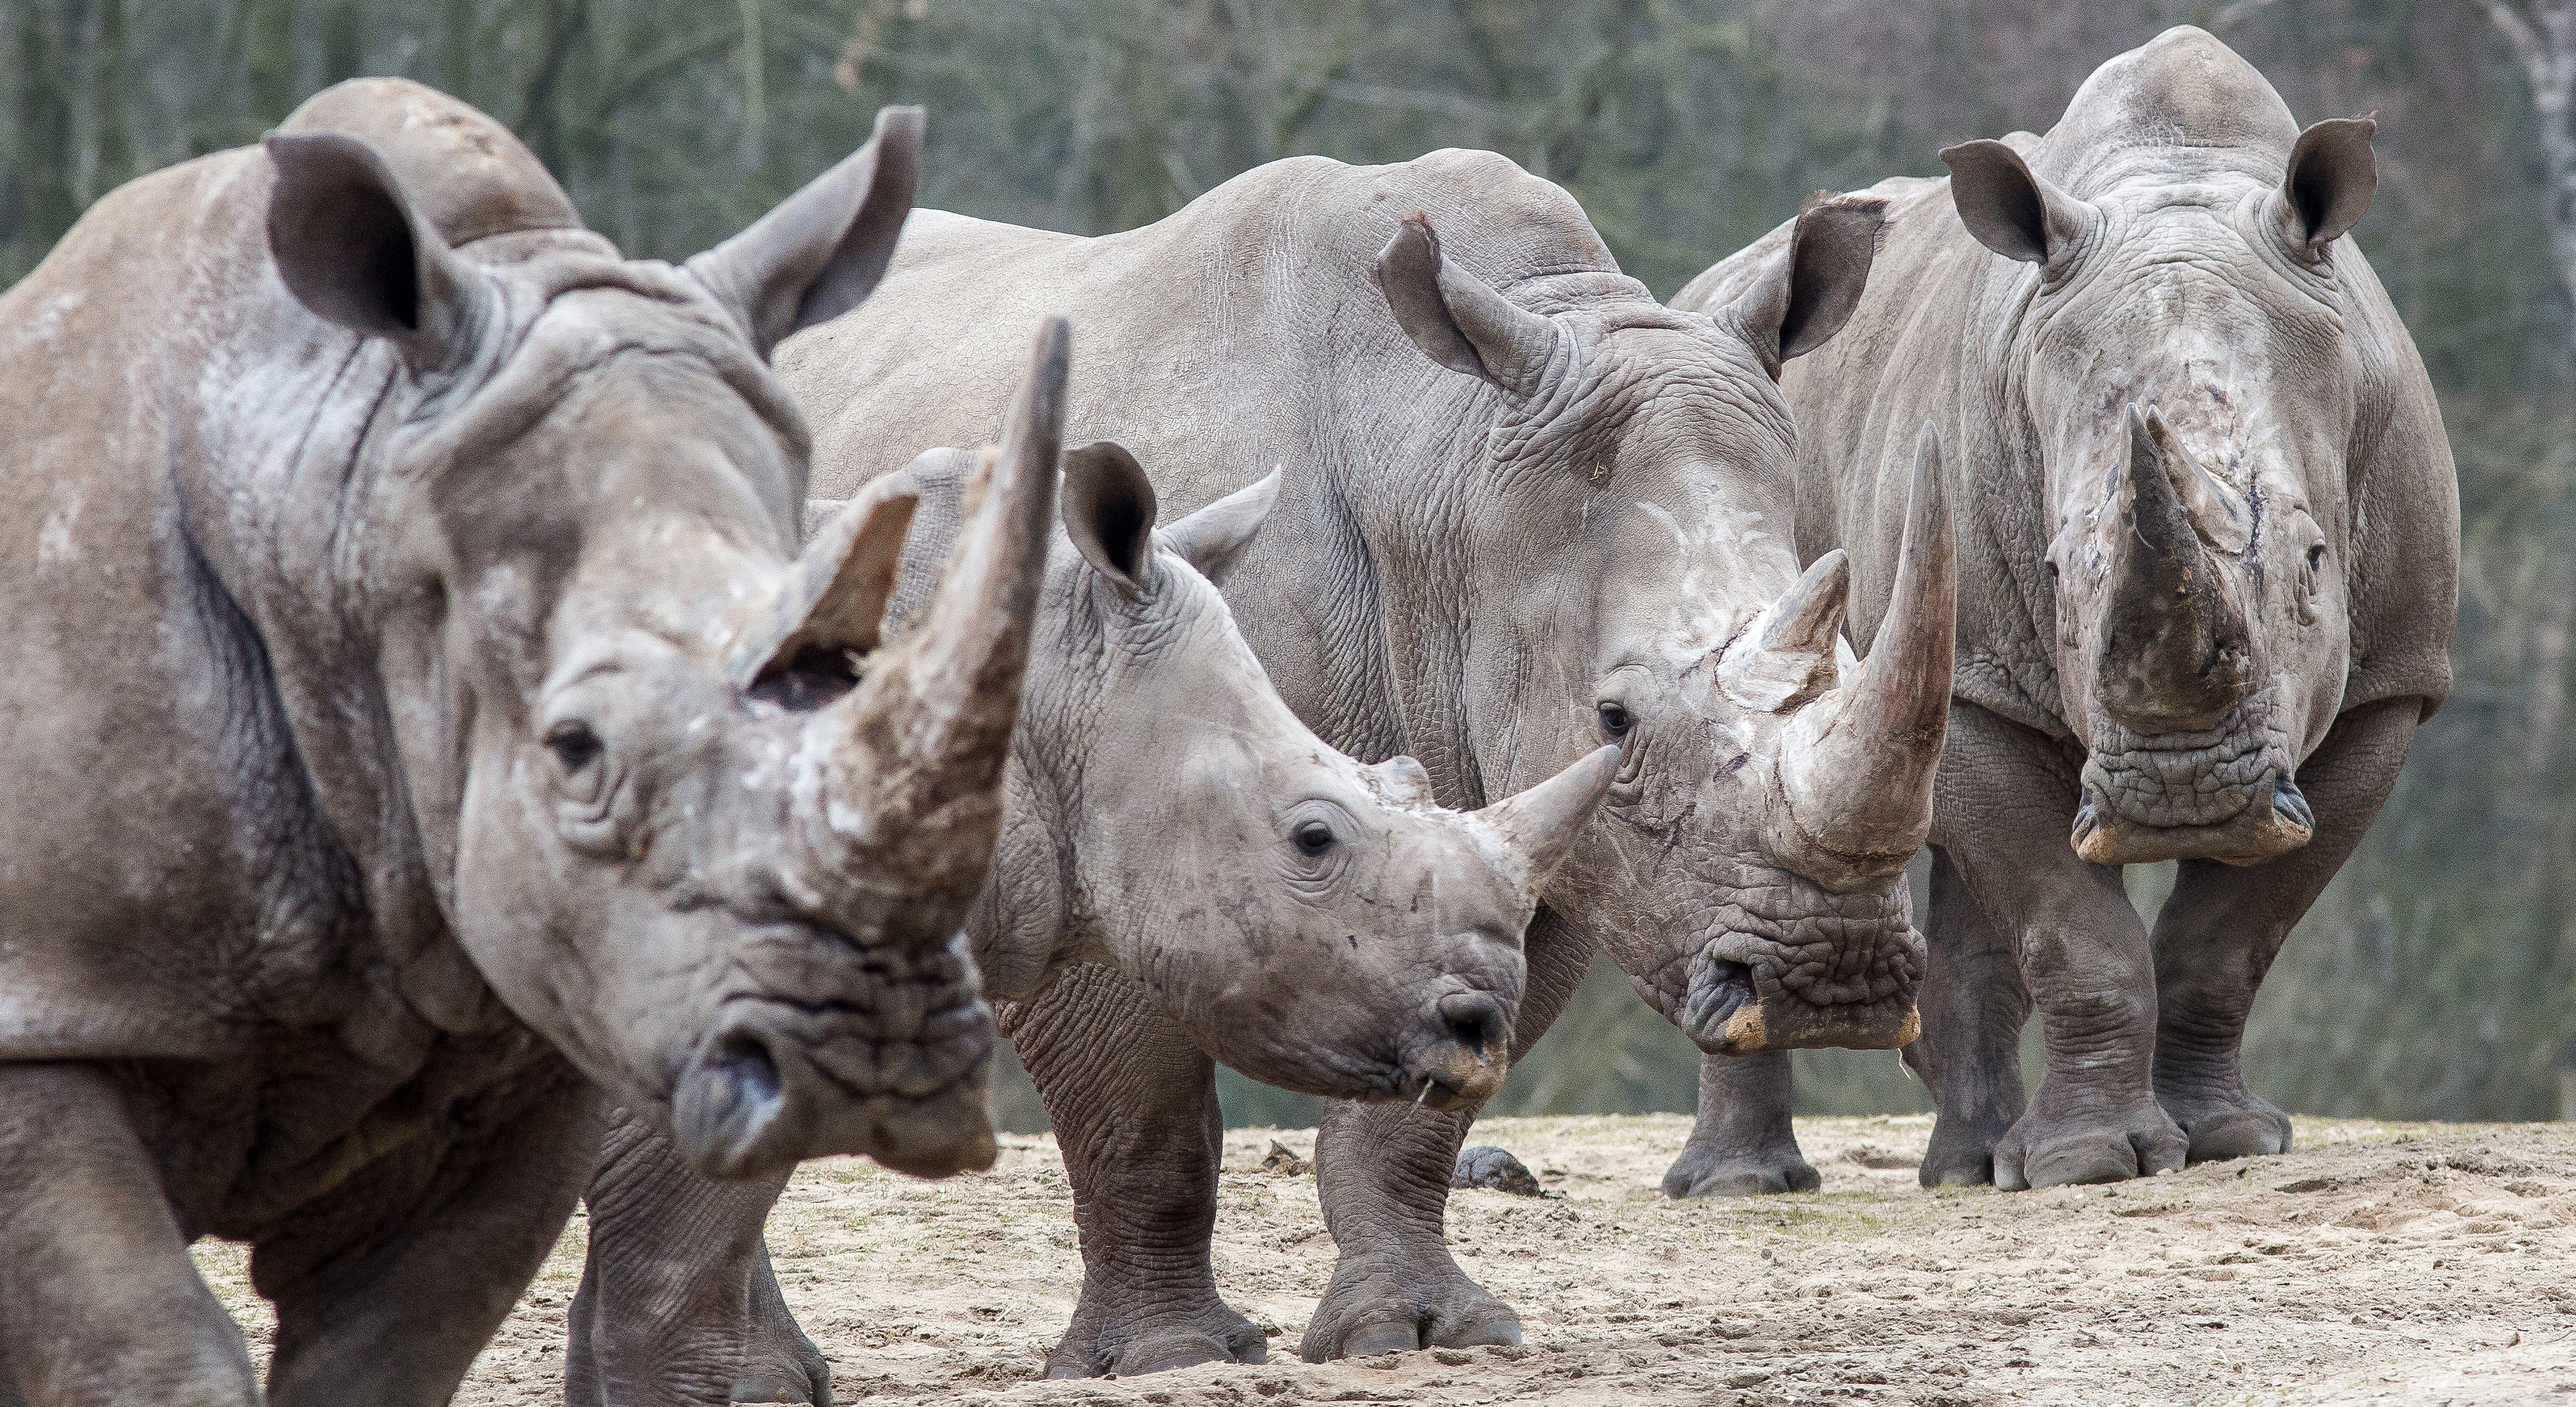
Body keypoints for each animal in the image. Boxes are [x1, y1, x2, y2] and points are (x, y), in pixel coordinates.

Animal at [0, 80, 1060, 1406]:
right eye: (575, 753)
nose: (874, 1060)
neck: (338, 512)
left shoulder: (543, 1028)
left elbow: (386, 1357)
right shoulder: (45, 1004)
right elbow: (144, 1355)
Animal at [1668, 27, 2458, 1192]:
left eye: (2317, 562)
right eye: (2050, 573)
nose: (2181, 796)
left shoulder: (2391, 686)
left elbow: (2230, 938)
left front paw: (2227, 1142)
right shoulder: (1971, 671)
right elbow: (2069, 927)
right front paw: (2089, 1162)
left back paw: (1967, 1164)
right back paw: (1749, 1185)